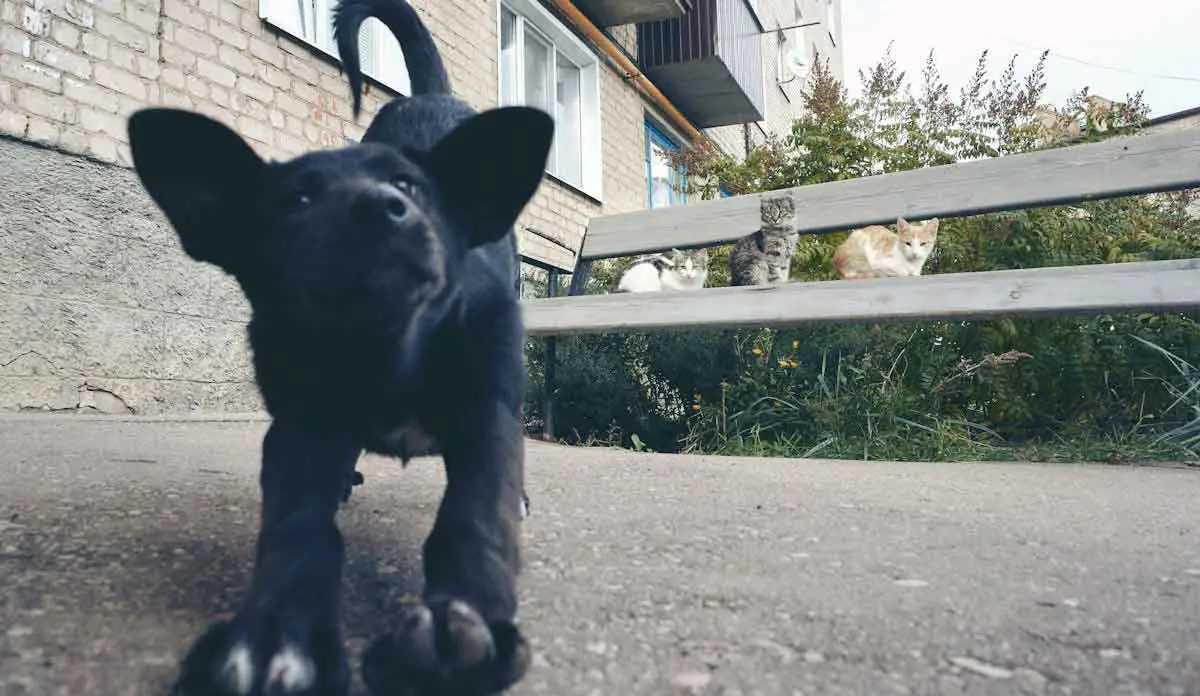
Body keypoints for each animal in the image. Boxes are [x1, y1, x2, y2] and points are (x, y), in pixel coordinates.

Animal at [121, 1, 552, 691]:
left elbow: (477, 511)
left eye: (411, 188)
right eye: (296, 199)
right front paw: (277, 636)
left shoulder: (484, 412)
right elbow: (299, 528)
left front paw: (464, 622)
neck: (384, 352)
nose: (381, 207)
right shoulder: (302, 430)